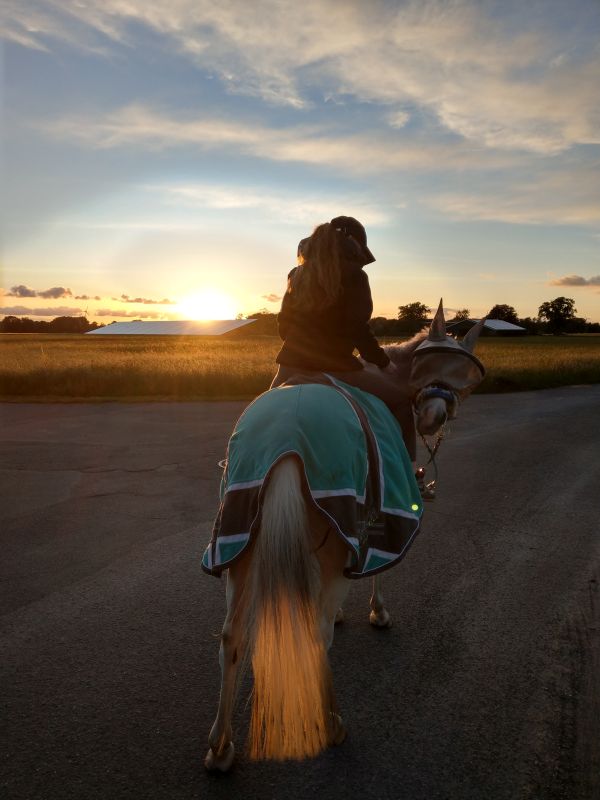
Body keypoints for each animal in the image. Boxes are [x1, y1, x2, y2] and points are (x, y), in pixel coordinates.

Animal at [203, 300, 486, 771]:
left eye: (464, 377)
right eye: (429, 365)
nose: (433, 417)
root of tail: (288, 439)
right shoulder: (375, 522)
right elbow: (376, 572)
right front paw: (378, 612)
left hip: (239, 540)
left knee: (231, 637)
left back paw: (220, 747)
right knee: (317, 636)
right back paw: (333, 723)